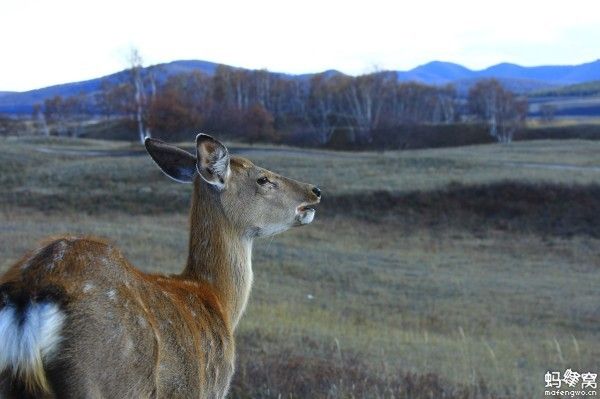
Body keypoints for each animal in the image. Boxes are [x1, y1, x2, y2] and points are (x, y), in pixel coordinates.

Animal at [0, 135, 322, 399]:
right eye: (262, 179)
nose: (315, 191)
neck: (217, 300)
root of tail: (31, 293)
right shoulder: (208, 389)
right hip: (104, 377)